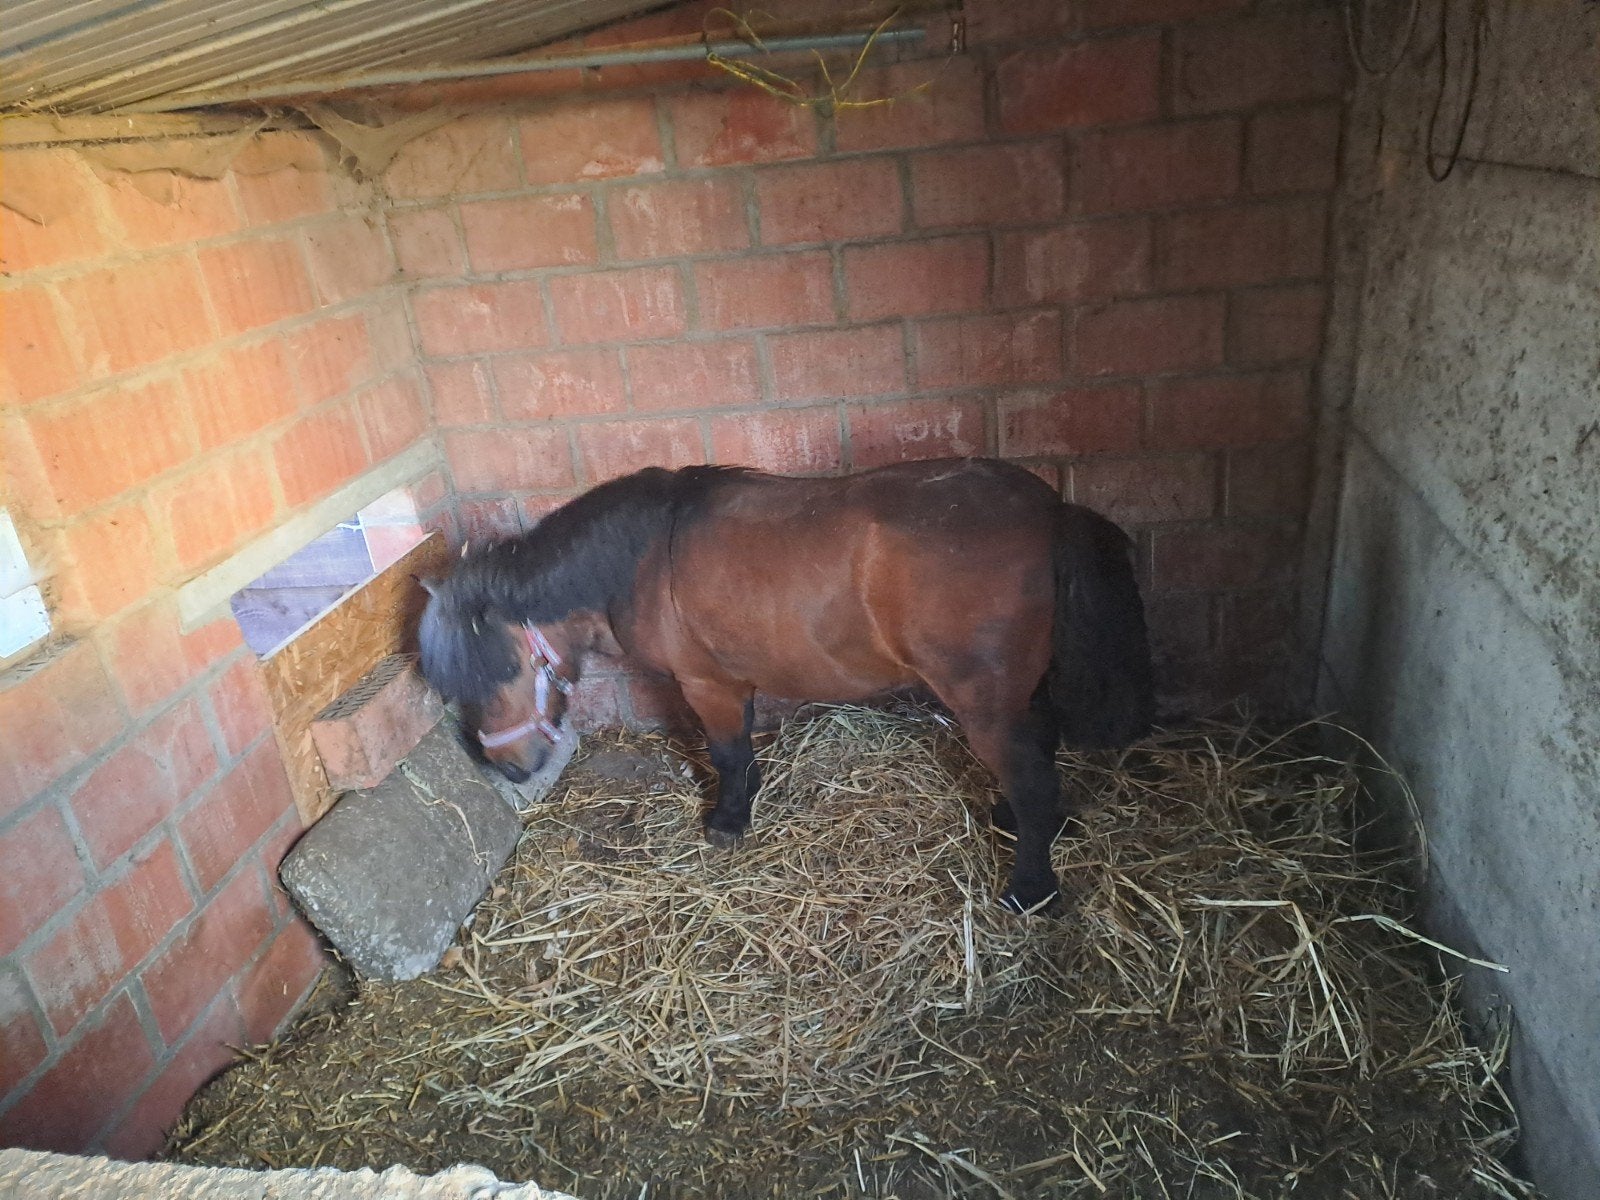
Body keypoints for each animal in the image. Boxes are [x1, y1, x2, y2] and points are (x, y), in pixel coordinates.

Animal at [417, 457, 1153, 912]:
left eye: (500, 669)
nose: (509, 768)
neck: (642, 559)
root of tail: (1050, 509)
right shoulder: (732, 680)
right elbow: (743, 751)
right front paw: (745, 803)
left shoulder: (706, 683)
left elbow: (727, 754)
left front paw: (727, 821)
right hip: (1020, 693)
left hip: (986, 703)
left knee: (1031, 778)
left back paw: (1031, 891)